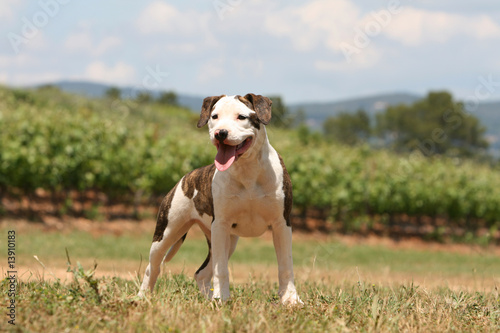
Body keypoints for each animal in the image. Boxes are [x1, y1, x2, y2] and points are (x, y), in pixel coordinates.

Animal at [137, 93, 300, 304]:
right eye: (214, 116)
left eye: (242, 117)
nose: (220, 133)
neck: (247, 169)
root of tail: (185, 177)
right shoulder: (221, 225)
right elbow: (221, 269)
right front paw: (222, 298)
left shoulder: (282, 224)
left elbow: (286, 266)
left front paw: (291, 300)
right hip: (167, 232)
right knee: (153, 267)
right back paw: (143, 296)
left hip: (226, 239)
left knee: (201, 273)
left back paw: (208, 298)